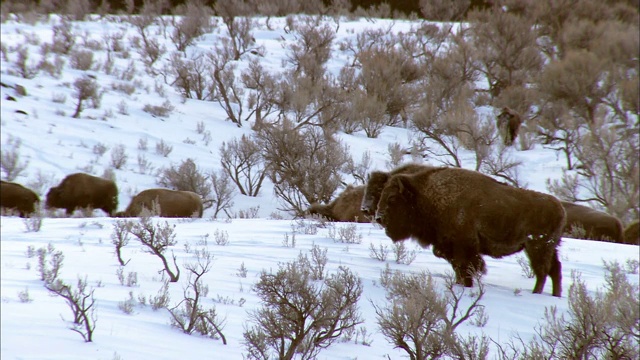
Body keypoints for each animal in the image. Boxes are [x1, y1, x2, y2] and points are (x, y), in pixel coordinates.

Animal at [376, 167, 564, 296]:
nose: (378, 218)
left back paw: (536, 294)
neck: (428, 196)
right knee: (554, 270)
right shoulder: (449, 248)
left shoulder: (464, 247)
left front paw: (465, 285)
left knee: (542, 271)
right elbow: (458, 268)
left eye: (392, 198)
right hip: (548, 248)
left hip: (536, 247)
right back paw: (555, 295)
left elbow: (465, 267)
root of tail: (560, 207)